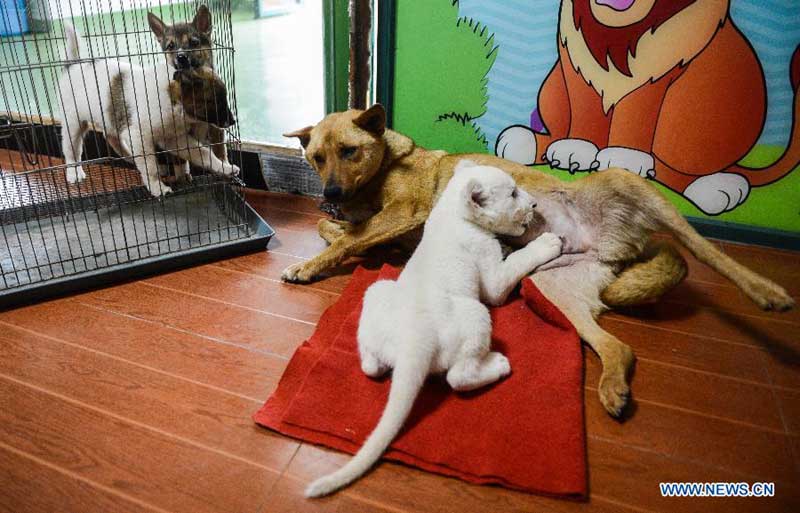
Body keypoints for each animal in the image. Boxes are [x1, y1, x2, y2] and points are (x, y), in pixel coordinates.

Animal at [57, 15, 238, 196]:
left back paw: (129, 156)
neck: (170, 98)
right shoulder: (139, 136)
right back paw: (74, 172)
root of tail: (72, 65)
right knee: (71, 150)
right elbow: (149, 166)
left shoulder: (174, 138)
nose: (232, 122)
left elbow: (203, 153)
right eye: (215, 102)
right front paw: (157, 187)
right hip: (73, 124)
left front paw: (224, 167)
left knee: (111, 136)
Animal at [282, 104, 792, 416]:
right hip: (556, 288)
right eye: (316, 157)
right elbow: (336, 232)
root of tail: (608, 244)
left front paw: (311, 265)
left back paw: (767, 291)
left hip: (627, 181)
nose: (329, 194)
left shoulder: (406, 210)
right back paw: (613, 386)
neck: (382, 168)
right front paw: (361, 245)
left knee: (704, 249)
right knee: (619, 347)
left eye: (350, 151)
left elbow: (343, 239)